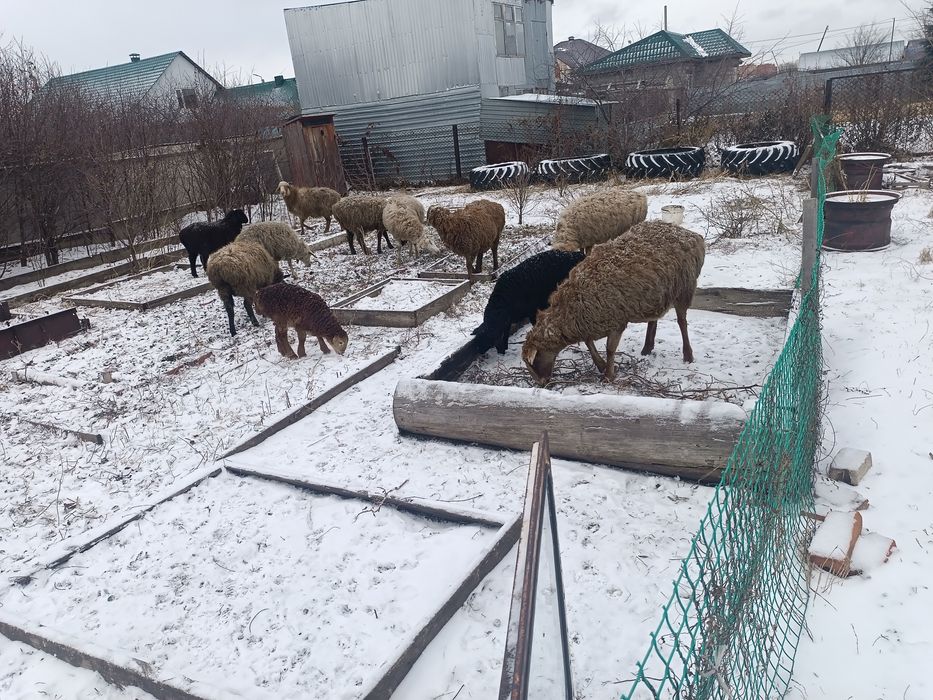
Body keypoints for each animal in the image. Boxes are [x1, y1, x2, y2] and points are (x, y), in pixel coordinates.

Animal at [522, 220, 706, 386]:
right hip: (656, 293)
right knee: (654, 319)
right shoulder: (593, 321)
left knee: (682, 322)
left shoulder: (617, 320)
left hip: (684, 287)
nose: (541, 383)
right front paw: (601, 365)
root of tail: (692, 234)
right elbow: (589, 343)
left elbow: (610, 349)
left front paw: (608, 376)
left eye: (535, 359)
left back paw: (688, 355)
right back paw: (647, 348)